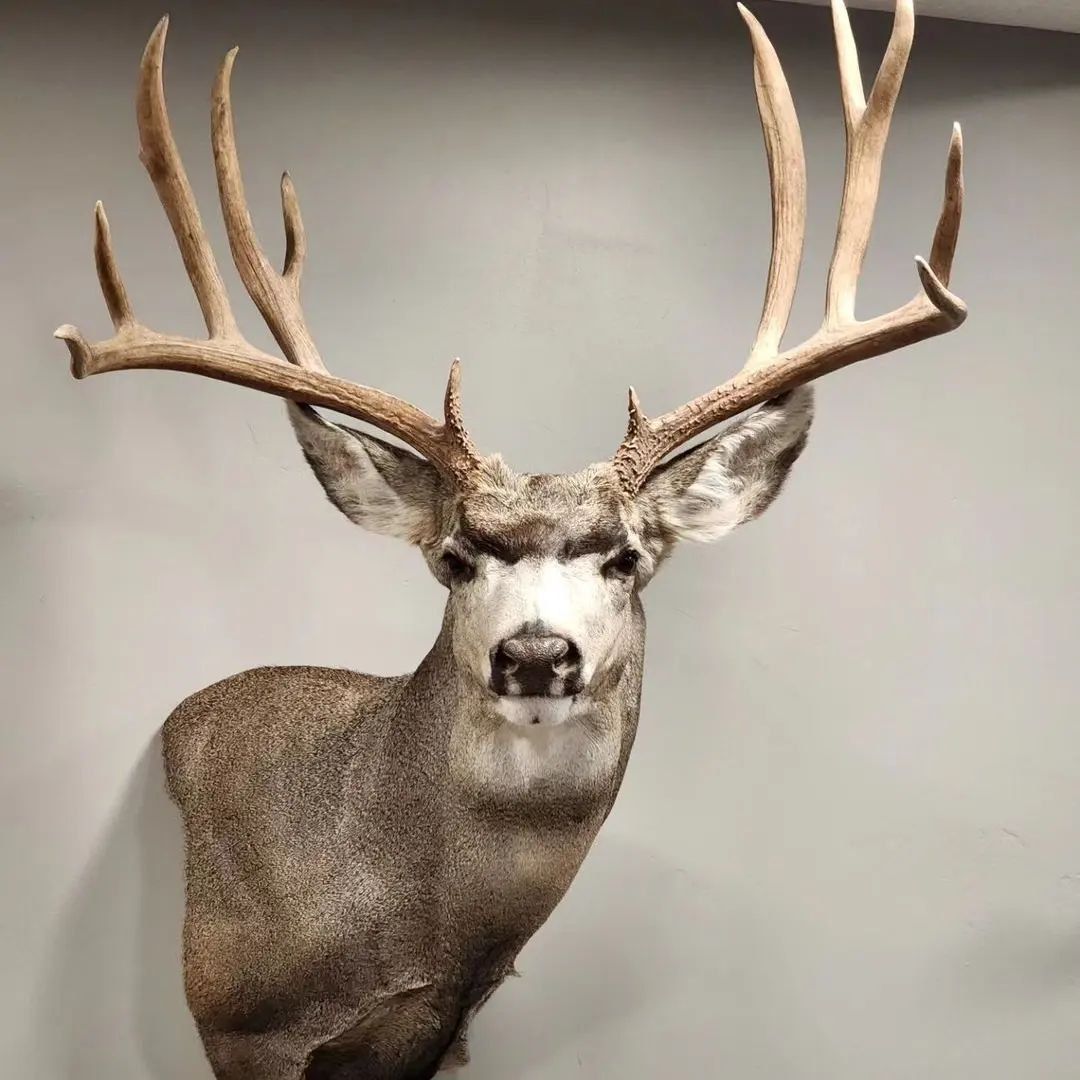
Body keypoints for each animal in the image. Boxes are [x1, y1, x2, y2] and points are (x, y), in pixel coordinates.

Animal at [55, 2, 965, 1077]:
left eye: (626, 557)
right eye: (456, 558)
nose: (535, 653)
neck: (411, 929)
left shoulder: (446, 1030)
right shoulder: (237, 1020)